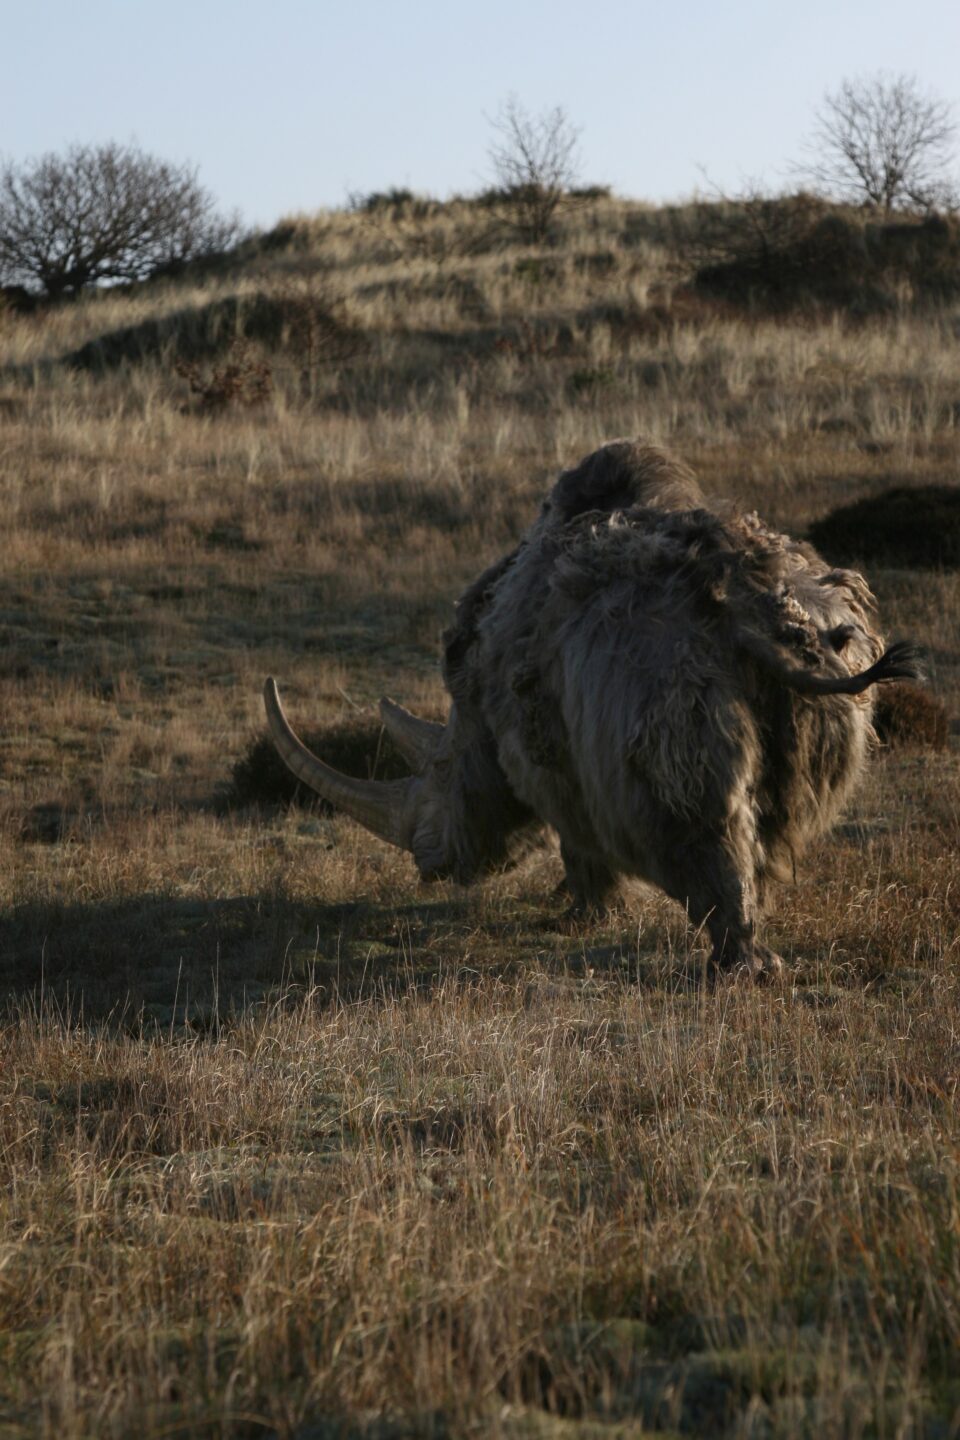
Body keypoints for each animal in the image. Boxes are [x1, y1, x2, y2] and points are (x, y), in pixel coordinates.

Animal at [264, 441, 921, 979]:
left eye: (441, 774)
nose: (431, 866)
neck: (470, 715)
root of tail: (750, 603)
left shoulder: (556, 757)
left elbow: (580, 844)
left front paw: (575, 917)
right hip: (831, 660)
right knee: (780, 807)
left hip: (657, 670)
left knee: (700, 811)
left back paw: (734, 970)